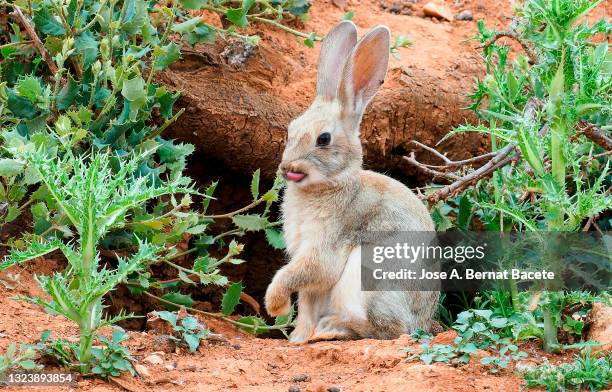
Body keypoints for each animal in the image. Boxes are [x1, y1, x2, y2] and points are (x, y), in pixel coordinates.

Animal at [266, 20, 438, 344]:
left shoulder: (324, 247)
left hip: (368, 276)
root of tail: (418, 324)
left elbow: (304, 273)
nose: (288, 167)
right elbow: (306, 302)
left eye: (323, 139)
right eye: (291, 130)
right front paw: (297, 338)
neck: (331, 184)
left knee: (384, 331)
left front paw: (276, 306)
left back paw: (332, 329)